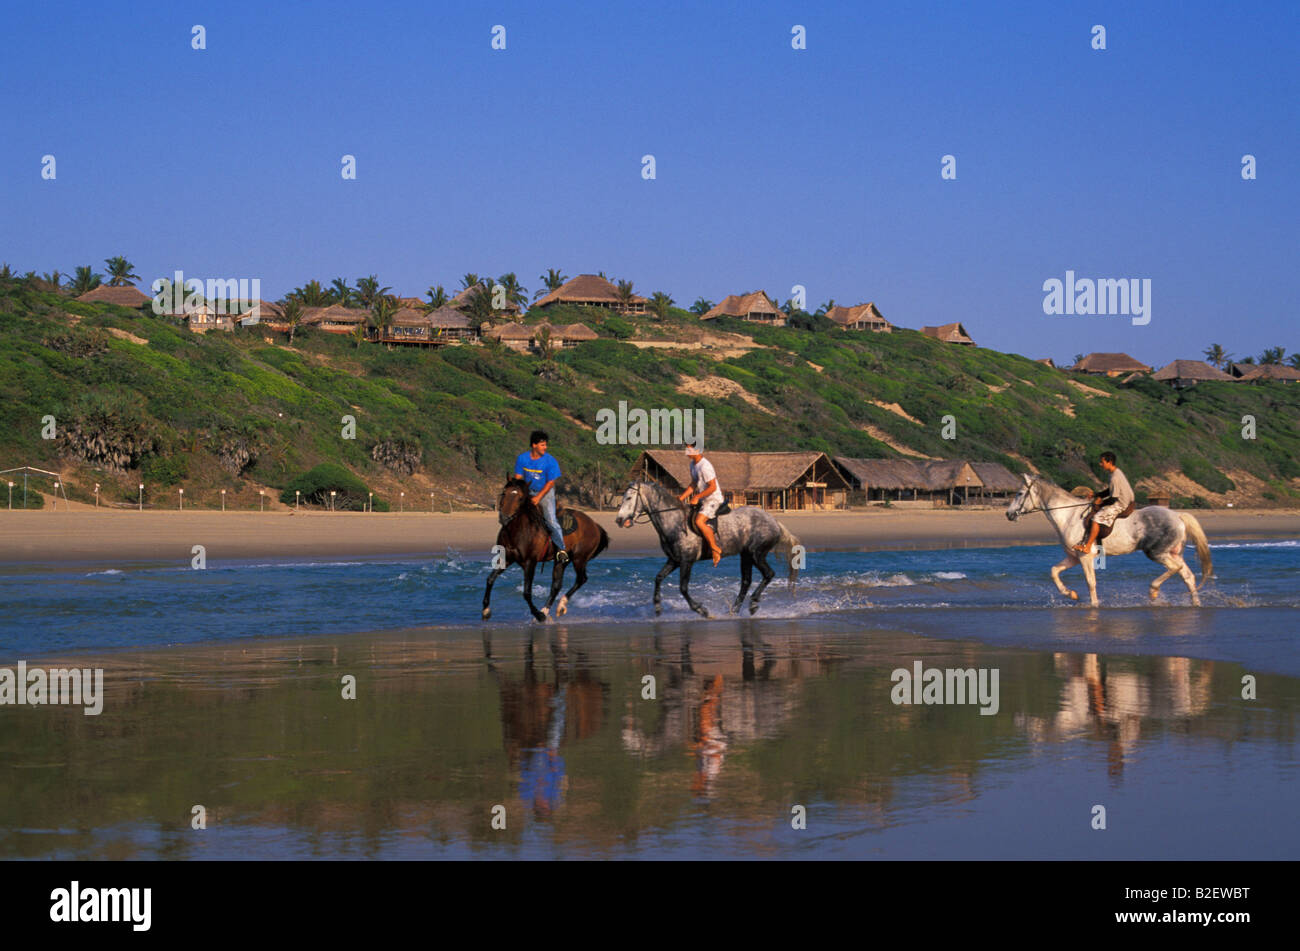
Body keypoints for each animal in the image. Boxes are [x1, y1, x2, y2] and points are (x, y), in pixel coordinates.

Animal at [486, 475, 611, 623]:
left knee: (581, 579)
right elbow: (490, 579)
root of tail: (595, 525)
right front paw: (486, 610)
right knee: (556, 585)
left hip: (579, 558)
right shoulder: (506, 558)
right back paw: (547, 610)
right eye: (504, 493)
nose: (504, 517)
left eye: (520, 498)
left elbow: (527, 592)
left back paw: (558, 607)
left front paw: (538, 615)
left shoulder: (530, 562)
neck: (518, 530)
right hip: (562, 561)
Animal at [611, 483, 800, 615]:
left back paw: (753, 603)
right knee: (746, 581)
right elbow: (658, 578)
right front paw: (657, 607)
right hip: (745, 555)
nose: (619, 520)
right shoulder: (674, 560)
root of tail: (775, 522)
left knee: (768, 574)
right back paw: (735, 610)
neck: (674, 522)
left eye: (629, 498)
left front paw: (700, 609)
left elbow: (683, 588)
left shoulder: (687, 561)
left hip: (756, 554)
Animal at [1003, 475, 1206, 608]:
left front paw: (1094, 606)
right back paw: (1195, 604)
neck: (1068, 515)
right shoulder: (1073, 557)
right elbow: (1054, 572)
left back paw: (1153, 590)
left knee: (1176, 569)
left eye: (1020, 493)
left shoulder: (1085, 557)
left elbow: (1090, 582)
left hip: (1157, 553)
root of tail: (1178, 516)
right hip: (1173, 553)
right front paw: (1071, 594)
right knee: (1188, 576)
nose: (1008, 514)